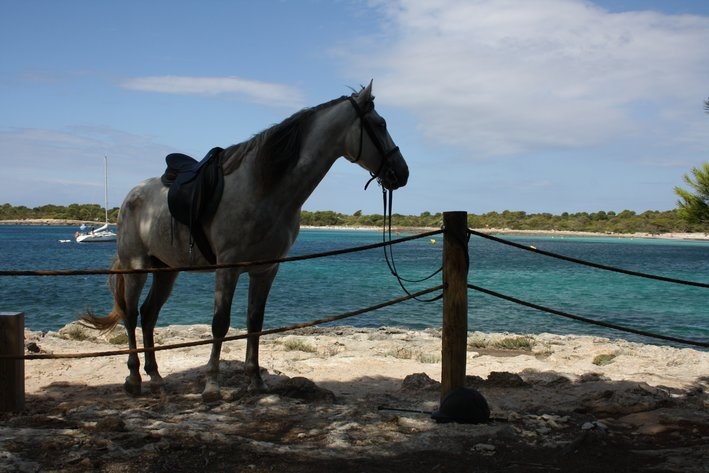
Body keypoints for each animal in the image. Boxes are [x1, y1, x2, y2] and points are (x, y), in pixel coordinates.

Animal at [81, 81, 410, 398]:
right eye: (380, 124)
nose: (402, 172)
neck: (264, 189)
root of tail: (132, 195)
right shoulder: (228, 268)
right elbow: (220, 324)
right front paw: (212, 386)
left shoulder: (265, 269)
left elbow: (255, 322)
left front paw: (255, 381)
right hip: (136, 267)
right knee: (131, 314)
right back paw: (134, 378)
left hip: (166, 270)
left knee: (148, 315)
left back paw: (156, 378)